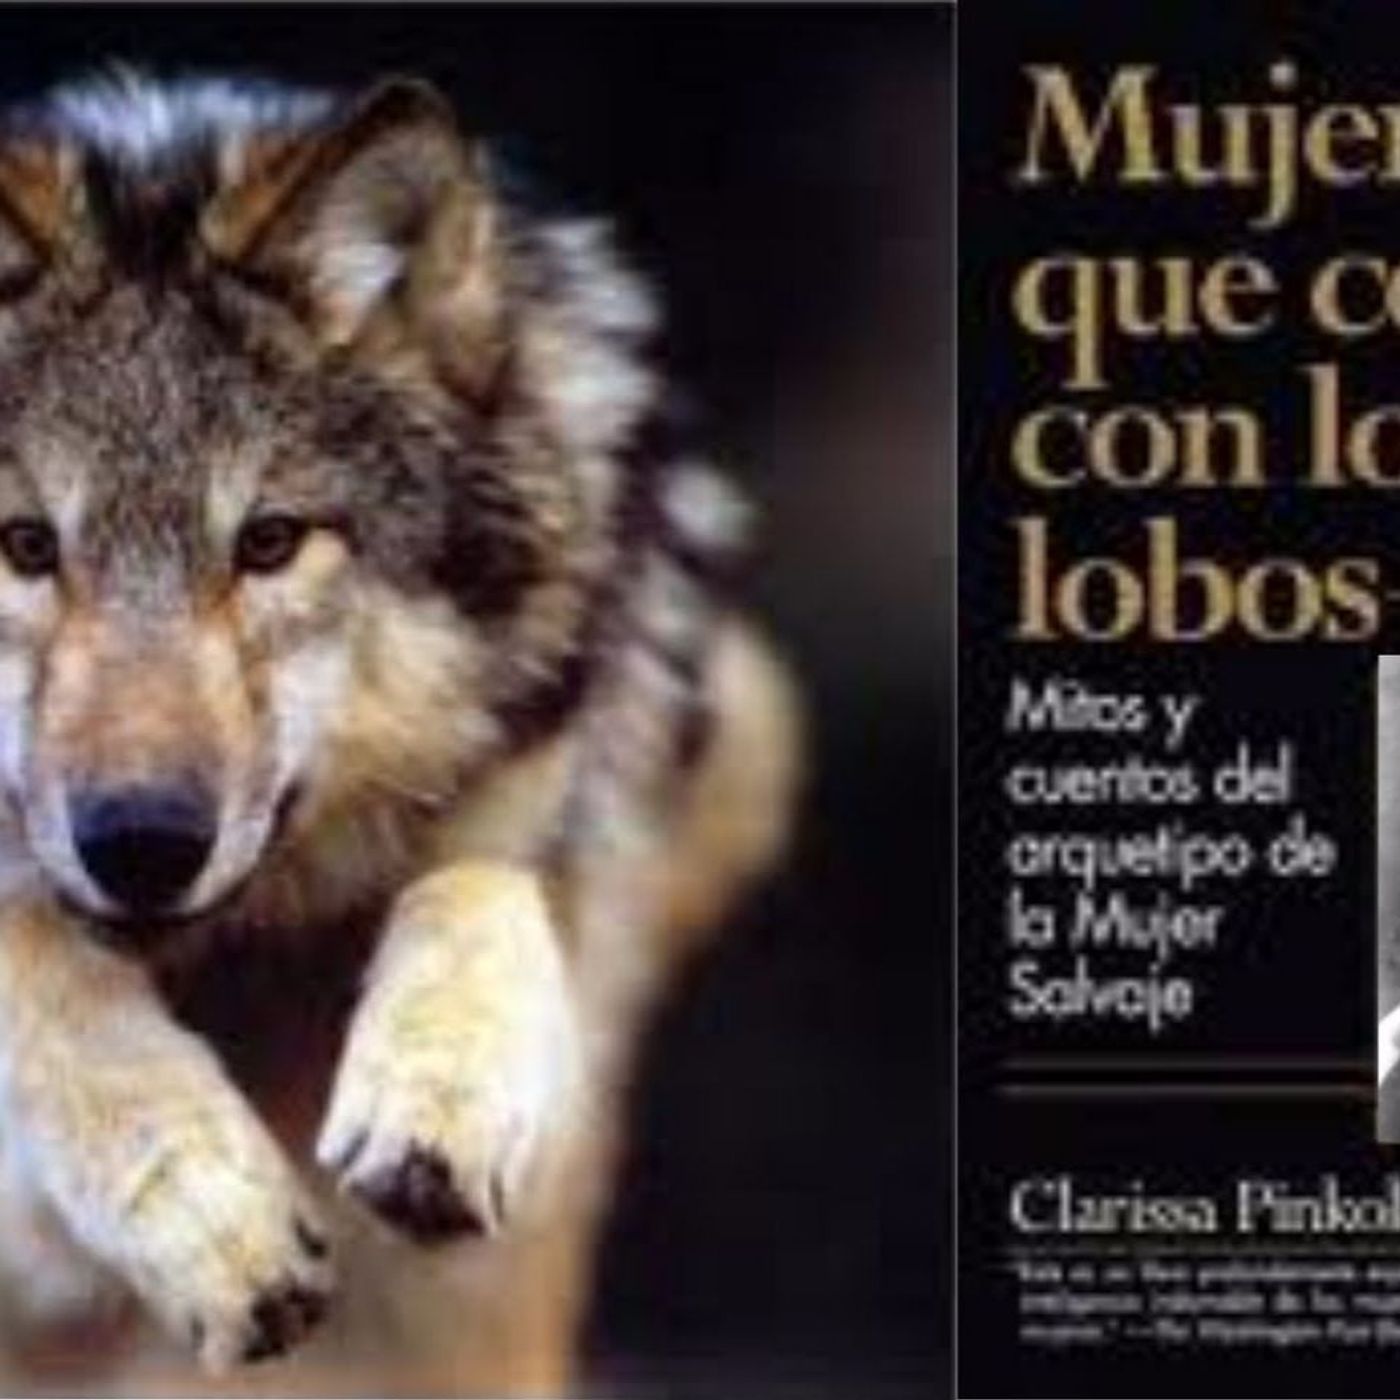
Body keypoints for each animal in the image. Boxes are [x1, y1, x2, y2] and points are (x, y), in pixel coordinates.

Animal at [0, 70, 800, 1396]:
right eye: (24, 545)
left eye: (269, 542)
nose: (143, 843)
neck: (235, 956)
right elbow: (36, 962)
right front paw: (213, 1215)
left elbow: (486, 878)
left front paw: (441, 1093)